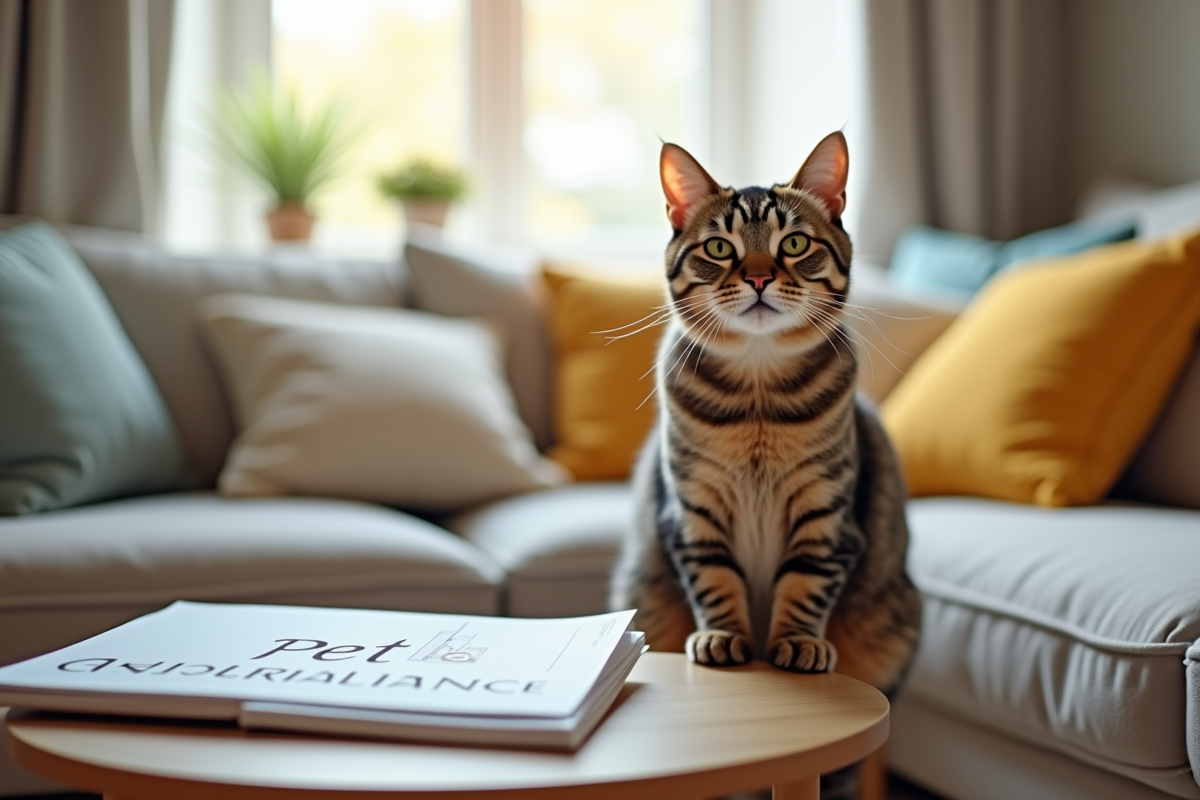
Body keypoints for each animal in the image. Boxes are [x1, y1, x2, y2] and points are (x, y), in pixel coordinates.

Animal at [609, 134, 916, 695]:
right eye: (718, 247)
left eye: (793, 244)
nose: (756, 278)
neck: (758, 402)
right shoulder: (694, 509)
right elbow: (714, 578)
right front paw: (723, 637)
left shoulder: (825, 510)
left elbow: (806, 581)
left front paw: (797, 642)